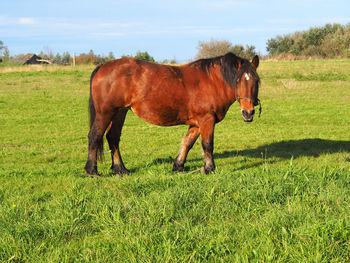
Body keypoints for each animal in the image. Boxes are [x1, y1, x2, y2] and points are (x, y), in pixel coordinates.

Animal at [84, 52, 260, 176]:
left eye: (256, 80)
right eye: (237, 80)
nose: (248, 112)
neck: (212, 81)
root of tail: (102, 67)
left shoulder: (197, 123)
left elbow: (187, 143)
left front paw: (178, 166)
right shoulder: (206, 119)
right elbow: (207, 145)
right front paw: (210, 168)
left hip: (120, 112)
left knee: (112, 137)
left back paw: (120, 169)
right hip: (105, 113)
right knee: (95, 136)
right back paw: (92, 171)